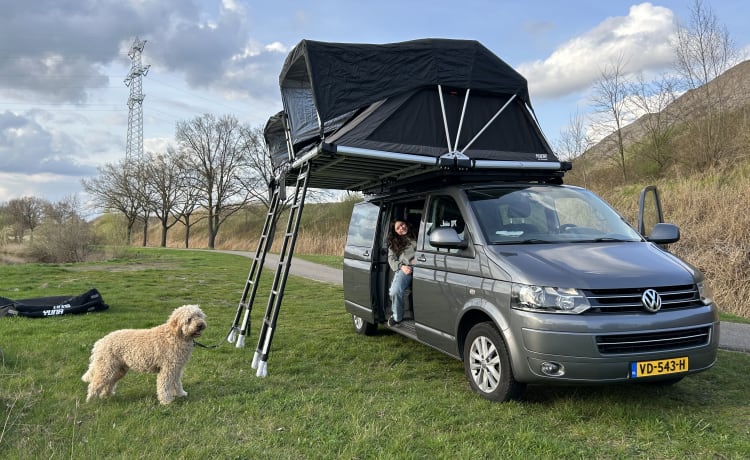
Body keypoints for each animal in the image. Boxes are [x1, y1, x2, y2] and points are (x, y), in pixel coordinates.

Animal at [81, 306, 209, 406]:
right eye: (189, 319)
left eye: (199, 315)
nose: (200, 325)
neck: (176, 335)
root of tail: (99, 342)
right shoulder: (167, 369)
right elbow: (164, 385)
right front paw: (166, 401)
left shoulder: (177, 368)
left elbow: (177, 383)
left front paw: (181, 394)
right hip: (105, 368)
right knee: (94, 384)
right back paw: (90, 401)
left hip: (118, 369)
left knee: (109, 383)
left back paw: (106, 395)